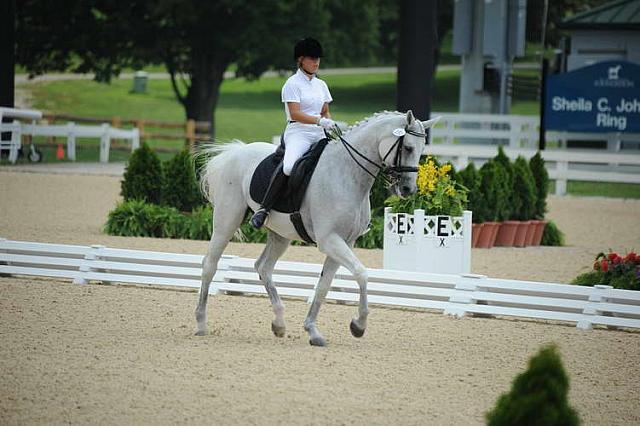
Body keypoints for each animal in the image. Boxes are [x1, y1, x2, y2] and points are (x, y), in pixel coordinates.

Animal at [194, 110, 436, 346]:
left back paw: (279, 323)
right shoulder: (329, 240)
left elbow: (324, 285)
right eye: (408, 147)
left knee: (263, 267)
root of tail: (236, 151)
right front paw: (358, 325)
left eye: (421, 149)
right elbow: (361, 273)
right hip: (226, 221)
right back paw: (201, 324)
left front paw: (313, 330)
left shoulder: (345, 242)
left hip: (280, 235)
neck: (347, 174)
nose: (408, 189)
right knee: (210, 265)